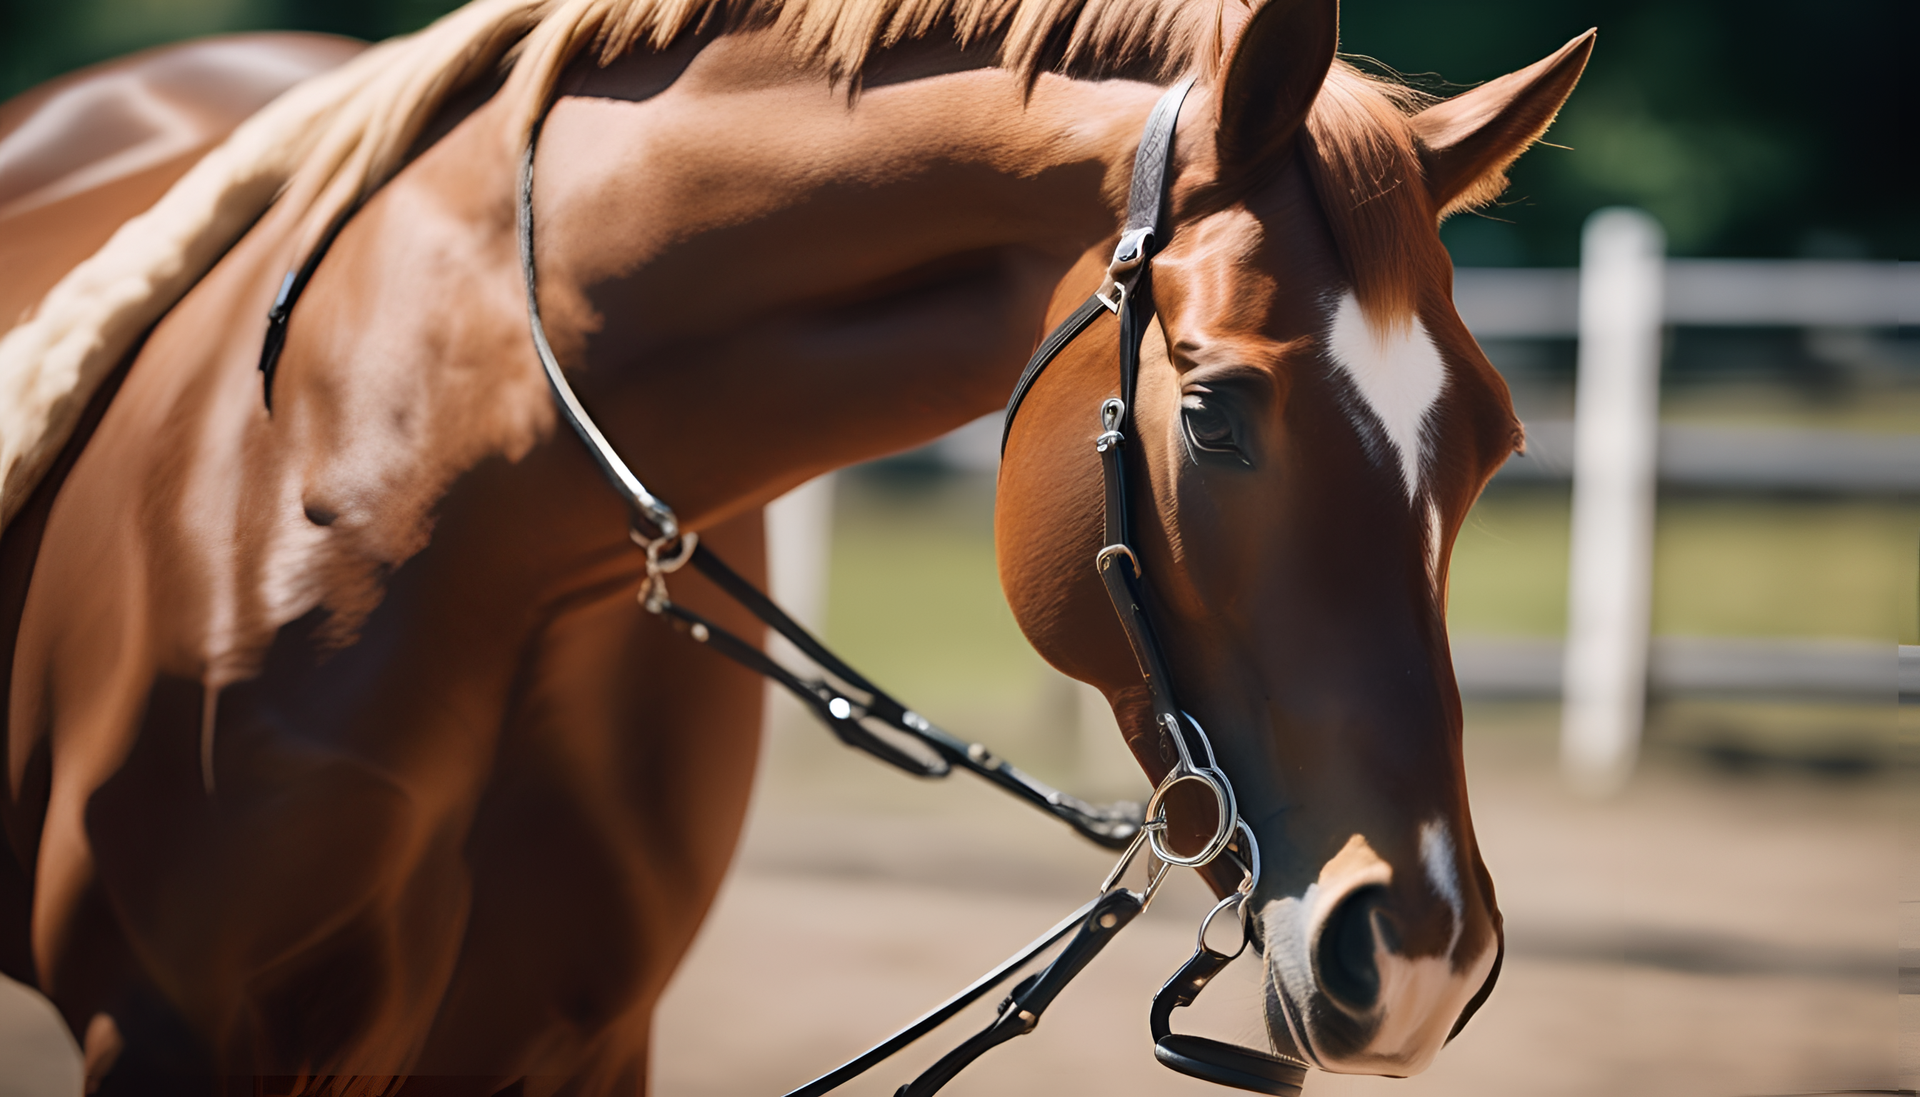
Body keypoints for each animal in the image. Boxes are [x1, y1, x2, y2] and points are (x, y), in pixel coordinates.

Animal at [0, 0, 1589, 1091]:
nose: (1426, 953)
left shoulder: (571, 1039)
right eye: (1210, 416)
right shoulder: (174, 1033)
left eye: (1495, 442)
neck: (455, 507)